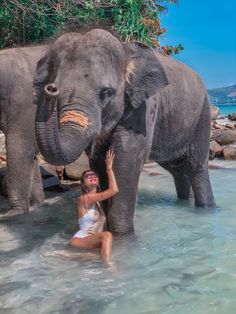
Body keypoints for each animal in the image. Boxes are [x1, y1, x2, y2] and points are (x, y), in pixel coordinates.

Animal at [33, 30, 216, 236]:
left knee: (196, 167)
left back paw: (206, 209)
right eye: (58, 91)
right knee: (177, 169)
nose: (50, 88)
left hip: (202, 115)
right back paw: (185, 202)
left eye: (105, 93)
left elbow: (127, 159)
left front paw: (123, 237)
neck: (124, 49)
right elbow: (98, 163)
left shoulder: (145, 107)